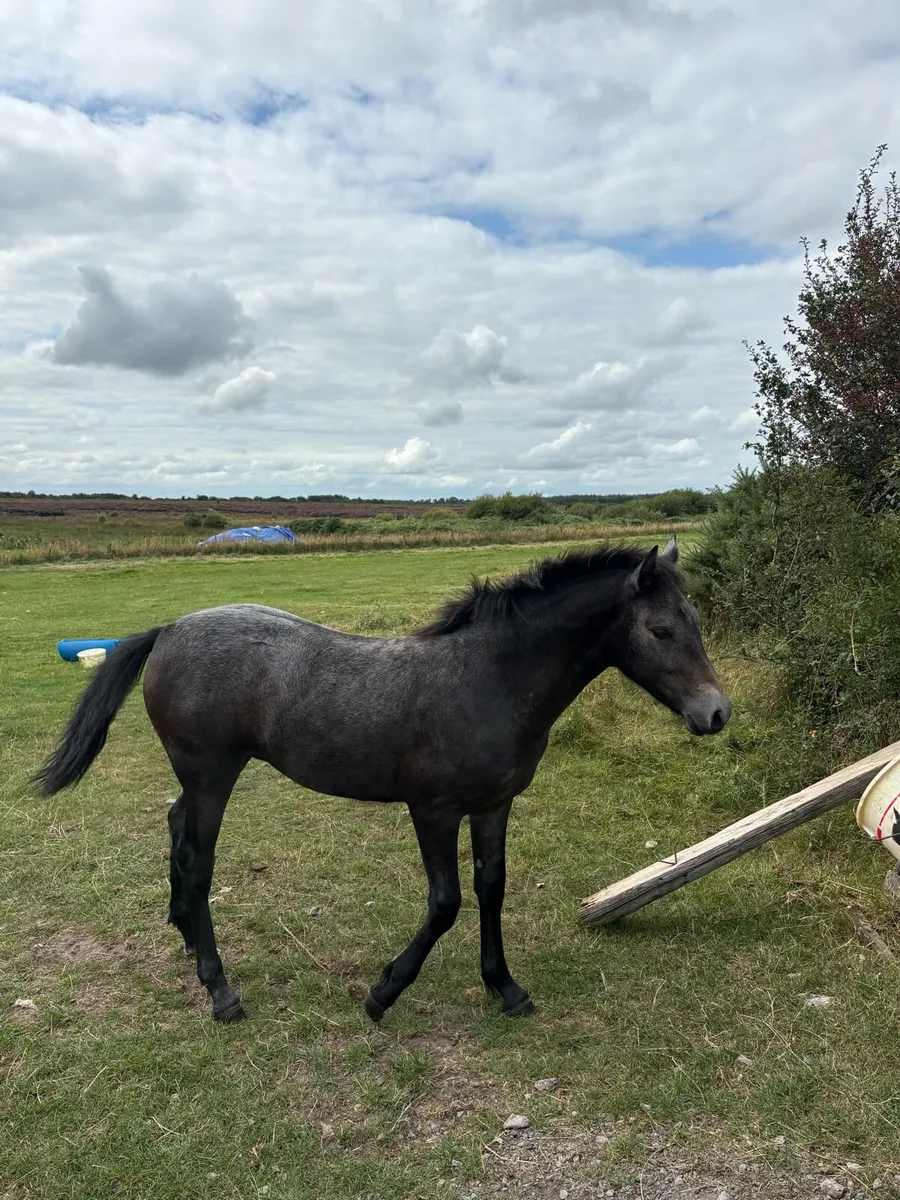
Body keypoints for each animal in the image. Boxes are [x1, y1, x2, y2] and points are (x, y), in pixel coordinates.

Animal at [34, 538, 731, 1025]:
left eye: (696, 621)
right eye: (661, 629)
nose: (716, 713)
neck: (490, 679)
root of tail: (168, 631)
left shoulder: (494, 806)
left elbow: (492, 890)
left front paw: (505, 988)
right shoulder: (433, 809)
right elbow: (446, 903)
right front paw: (382, 992)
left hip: (199, 779)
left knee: (176, 827)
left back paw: (182, 932)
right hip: (213, 776)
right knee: (198, 859)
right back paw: (220, 990)